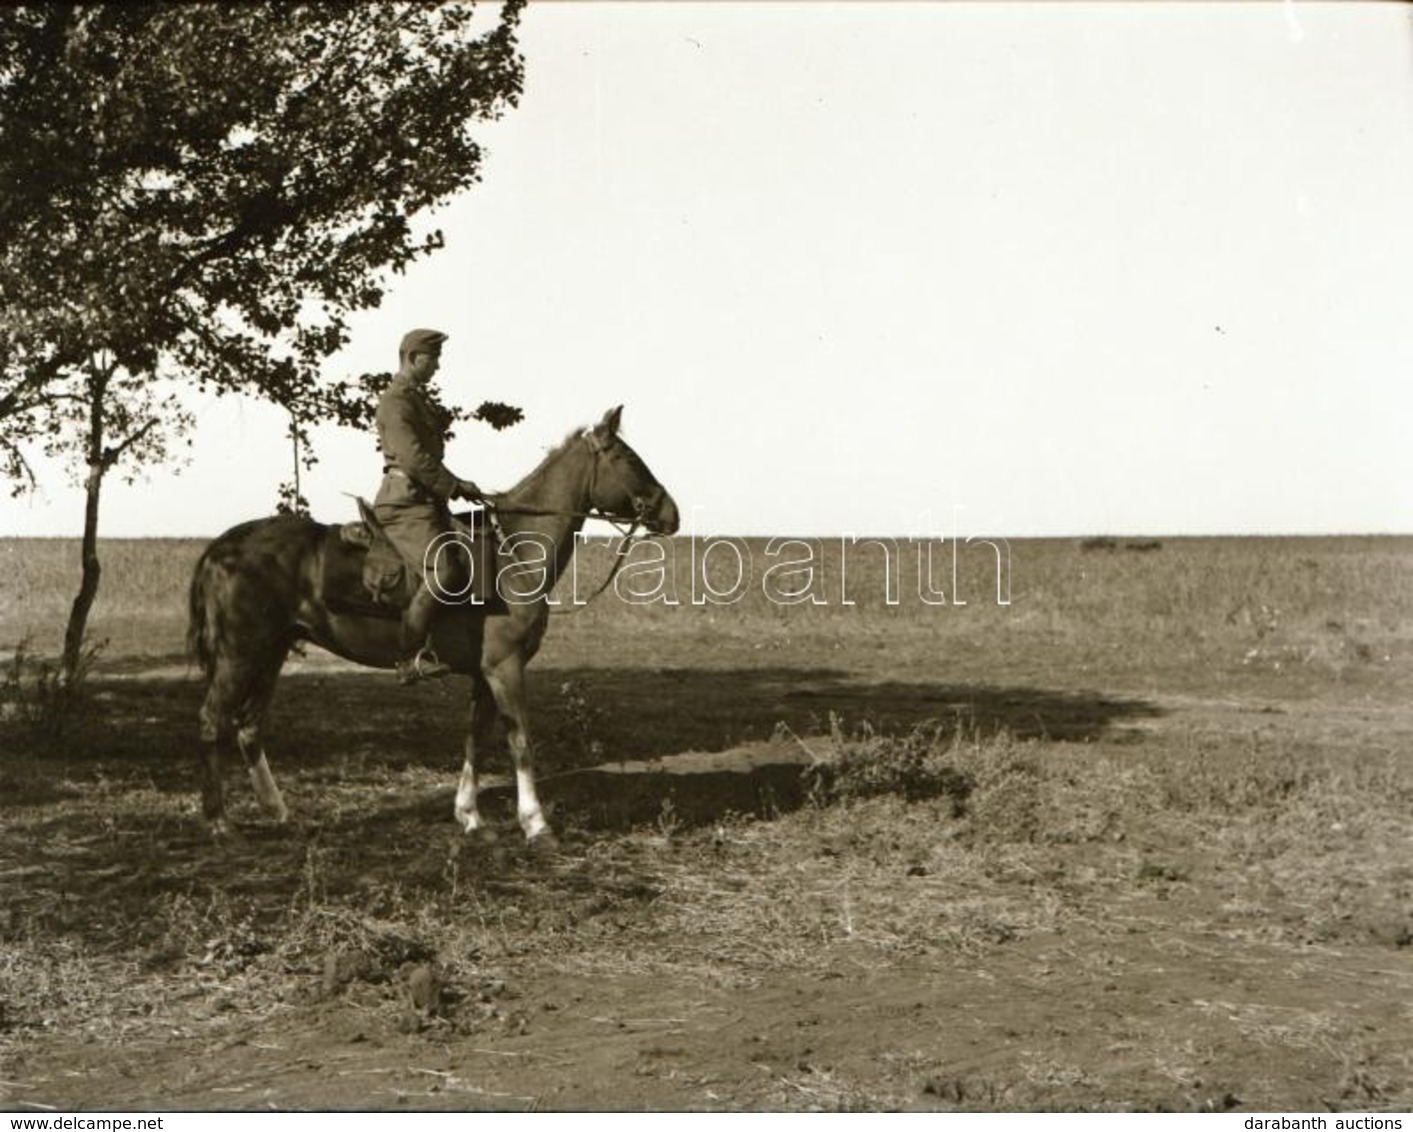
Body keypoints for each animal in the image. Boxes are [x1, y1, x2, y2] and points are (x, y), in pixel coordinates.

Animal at [186, 407, 678, 836]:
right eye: (627, 459)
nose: (671, 514)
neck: (513, 553)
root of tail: (223, 547)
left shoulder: (484, 673)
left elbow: (475, 740)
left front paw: (470, 817)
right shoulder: (505, 668)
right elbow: (520, 741)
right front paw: (536, 824)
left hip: (271, 652)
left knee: (248, 726)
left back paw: (279, 811)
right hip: (239, 655)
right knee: (212, 720)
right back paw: (219, 822)